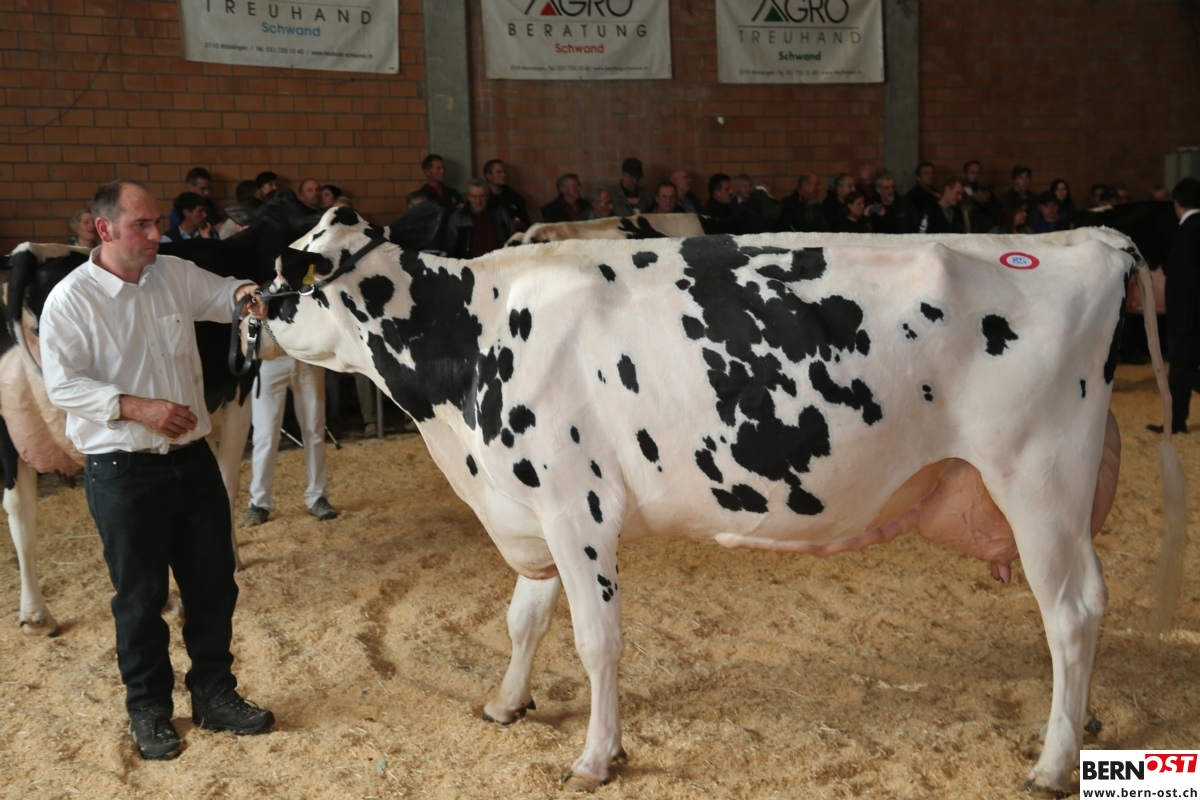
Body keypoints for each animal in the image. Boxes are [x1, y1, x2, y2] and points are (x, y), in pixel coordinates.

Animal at [251, 207, 1186, 795]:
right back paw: (1078, 728)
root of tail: (1090, 239)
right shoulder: (531, 499)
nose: (250, 306)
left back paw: (1052, 763)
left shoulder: (576, 506)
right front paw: (506, 704)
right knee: (1081, 612)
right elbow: (524, 618)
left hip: (1038, 478)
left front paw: (596, 757)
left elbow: (595, 640)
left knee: (1071, 612)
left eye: (291, 278)